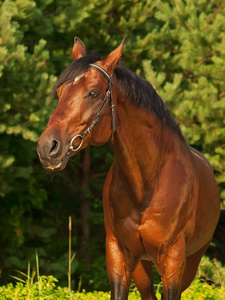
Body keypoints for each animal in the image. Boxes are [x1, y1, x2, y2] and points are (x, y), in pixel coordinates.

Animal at [37, 38, 221, 300]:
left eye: (93, 93)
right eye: (60, 92)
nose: (47, 147)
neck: (146, 184)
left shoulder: (173, 262)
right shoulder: (118, 256)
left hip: (191, 263)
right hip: (142, 265)